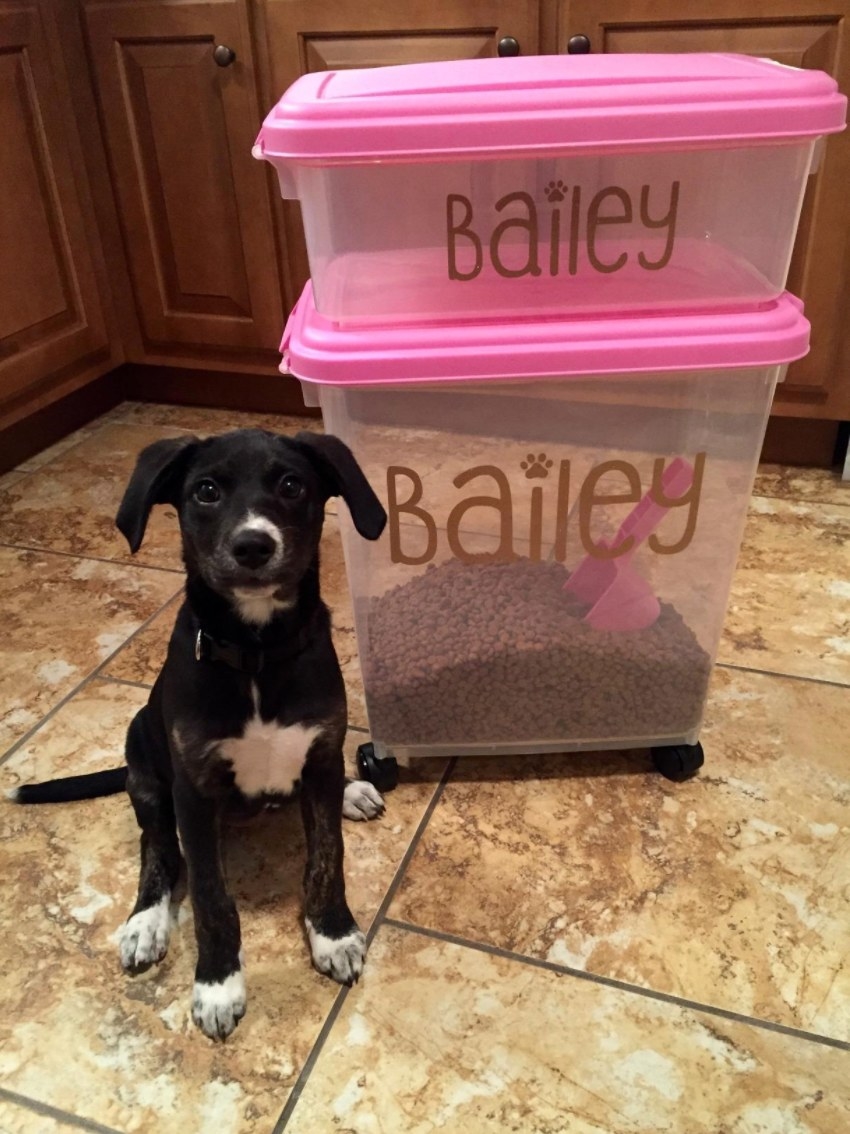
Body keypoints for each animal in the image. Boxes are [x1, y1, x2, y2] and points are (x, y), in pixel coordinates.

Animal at [9, 428, 389, 1038]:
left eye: (292, 485)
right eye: (206, 491)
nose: (253, 546)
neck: (257, 652)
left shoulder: (321, 749)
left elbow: (328, 857)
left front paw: (332, 934)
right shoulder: (193, 790)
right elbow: (210, 895)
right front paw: (217, 983)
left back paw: (351, 792)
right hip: (143, 761)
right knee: (158, 848)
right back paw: (146, 922)